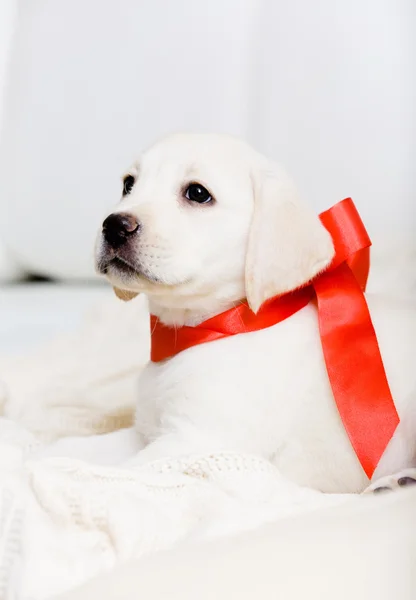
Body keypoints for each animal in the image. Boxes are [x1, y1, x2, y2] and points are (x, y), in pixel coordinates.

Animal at [95, 134, 416, 494]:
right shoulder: (143, 432)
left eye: (197, 193)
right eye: (128, 185)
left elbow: (109, 471)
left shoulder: (195, 440)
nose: (113, 225)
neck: (210, 330)